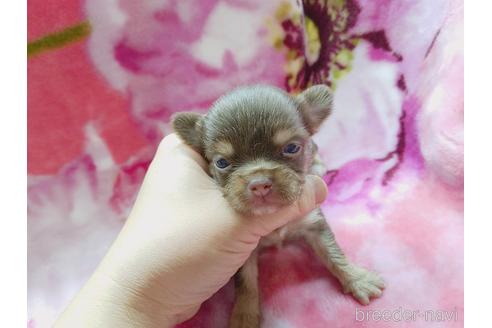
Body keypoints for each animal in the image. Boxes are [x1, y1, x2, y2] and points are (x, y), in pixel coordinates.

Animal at [172, 85, 384, 328]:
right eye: (222, 162)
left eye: (291, 148)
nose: (259, 184)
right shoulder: (243, 252)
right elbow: (246, 282)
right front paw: (244, 315)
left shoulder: (314, 223)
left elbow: (333, 253)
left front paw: (358, 278)